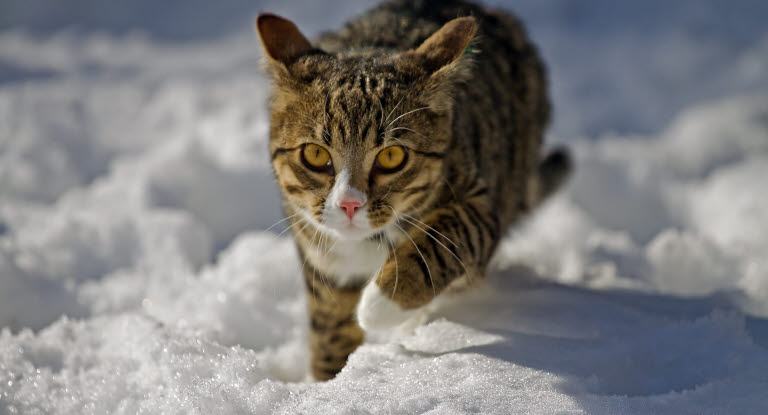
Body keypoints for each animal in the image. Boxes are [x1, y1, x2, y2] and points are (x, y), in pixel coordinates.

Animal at [255, 0, 568, 382]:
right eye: (315, 154)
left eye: (392, 156)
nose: (349, 203)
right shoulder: (317, 248)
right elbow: (330, 320)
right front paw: (331, 378)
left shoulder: (478, 207)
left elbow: (444, 240)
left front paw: (378, 304)